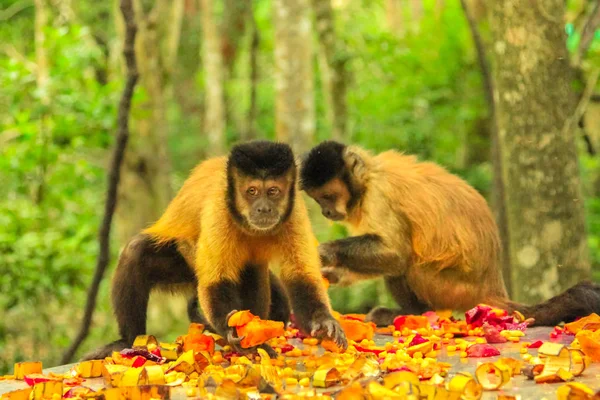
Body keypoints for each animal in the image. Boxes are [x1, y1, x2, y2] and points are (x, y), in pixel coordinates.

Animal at [85, 140, 346, 360]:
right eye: (252, 191)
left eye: (273, 191)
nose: (264, 208)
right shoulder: (219, 209)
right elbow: (215, 280)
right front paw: (231, 329)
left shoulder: (294, 212)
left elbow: (300, 275)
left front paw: (322, 322)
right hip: (184, 265)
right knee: (137, 251)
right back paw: (129, 341)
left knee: (253, 270)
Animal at [300, 141, 600, 328]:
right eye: (318, 200)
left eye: (327, 197)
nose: (326, 211)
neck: (369, 178)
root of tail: (491, 287)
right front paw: (330, 273)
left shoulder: (379, 194)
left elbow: (396, 254)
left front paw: (325, 252)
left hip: (451, 289)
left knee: (406, 264)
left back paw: (413, 314)